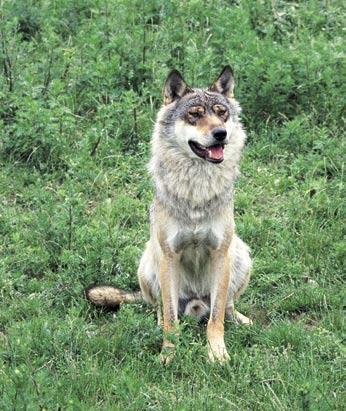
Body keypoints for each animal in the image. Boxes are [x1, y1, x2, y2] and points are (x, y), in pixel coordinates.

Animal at [86, 67, 253, 364]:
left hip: (240, 255)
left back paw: (240, 320)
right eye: (195, 114)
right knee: (160, 309)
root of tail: (197, 304)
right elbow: (171, 321)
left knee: (225, 306)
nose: (221, 133)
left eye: (221, 113)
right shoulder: (169, 255)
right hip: (149, 263)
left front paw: (217, 353)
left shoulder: (220, 252)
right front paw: (168, 355)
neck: (197, 190)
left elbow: (216, 319)